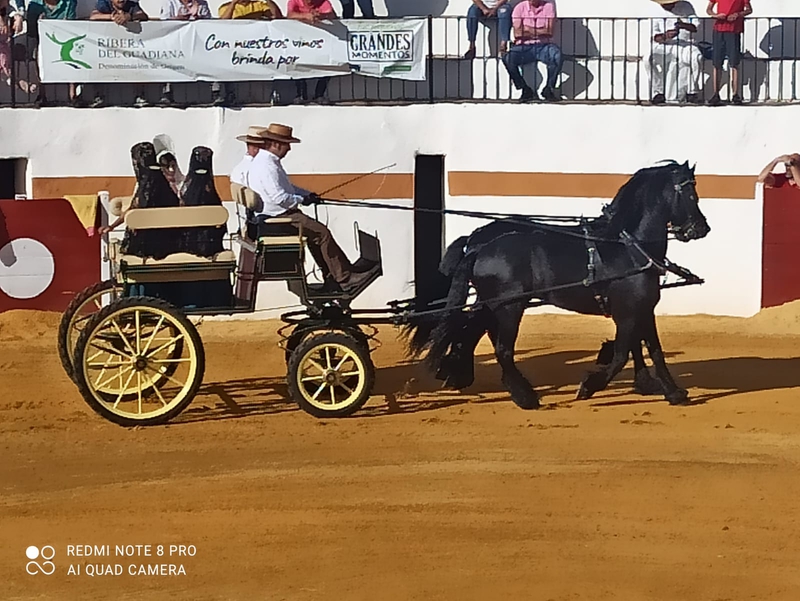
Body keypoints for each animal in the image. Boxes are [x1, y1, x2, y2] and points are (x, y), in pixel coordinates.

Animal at [406, 162, 712, 408]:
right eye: (690, 194)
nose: (702, 228)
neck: (628, 247)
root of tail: (480, 246)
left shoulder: (642, 308)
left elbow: (652, 350)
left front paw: (669, 391)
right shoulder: (628, 312)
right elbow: (622, 353)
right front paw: (590, 386)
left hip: (493, 304)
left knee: (472, 332)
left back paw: (462, 375)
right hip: (509, 307)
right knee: (501, 348)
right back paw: (524, 396)